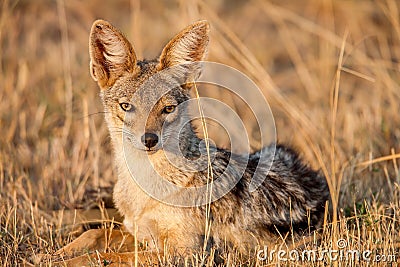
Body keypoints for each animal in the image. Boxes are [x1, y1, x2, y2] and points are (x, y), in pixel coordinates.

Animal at [46, 19, 328, 266]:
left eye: (168, 109)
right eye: (127, 107)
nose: (149, 140)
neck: (145, 188)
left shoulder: (187, 253)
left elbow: (105, 256)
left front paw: (64, 261)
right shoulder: (140, 233)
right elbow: (95, 234)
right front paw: (55, 254)